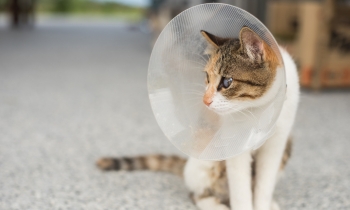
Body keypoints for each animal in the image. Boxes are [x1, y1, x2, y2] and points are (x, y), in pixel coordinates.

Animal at [97, 26, 300, 210]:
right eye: (207, 77)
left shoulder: (277, 144)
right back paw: (216, 205)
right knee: (198, 193)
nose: (205, 100)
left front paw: (263, 204)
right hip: (209, 160)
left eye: (227, 82)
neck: (259, 109)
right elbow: (240, 191)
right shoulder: (236, 147)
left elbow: (264, 186)